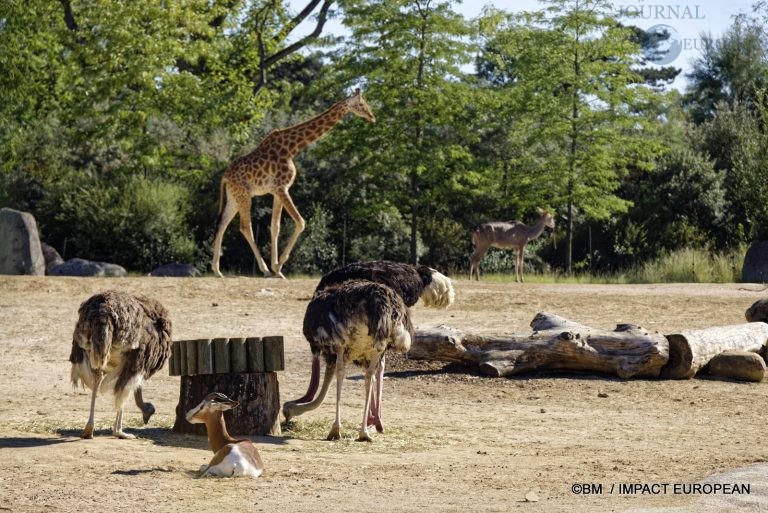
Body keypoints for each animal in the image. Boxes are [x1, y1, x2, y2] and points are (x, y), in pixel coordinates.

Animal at [212, 89, 376, 278]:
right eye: (361, 104)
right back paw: (264, 270)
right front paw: (277, 267)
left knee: (222, 223)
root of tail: (225, 177)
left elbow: (275, 227)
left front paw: (278, 269)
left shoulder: (277, 191)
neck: (292, 149)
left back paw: (217, 270)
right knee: (245, 227)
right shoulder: (282, 187)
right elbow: (300, 222)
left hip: (234, 196)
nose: (372, 117)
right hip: (244, 195)